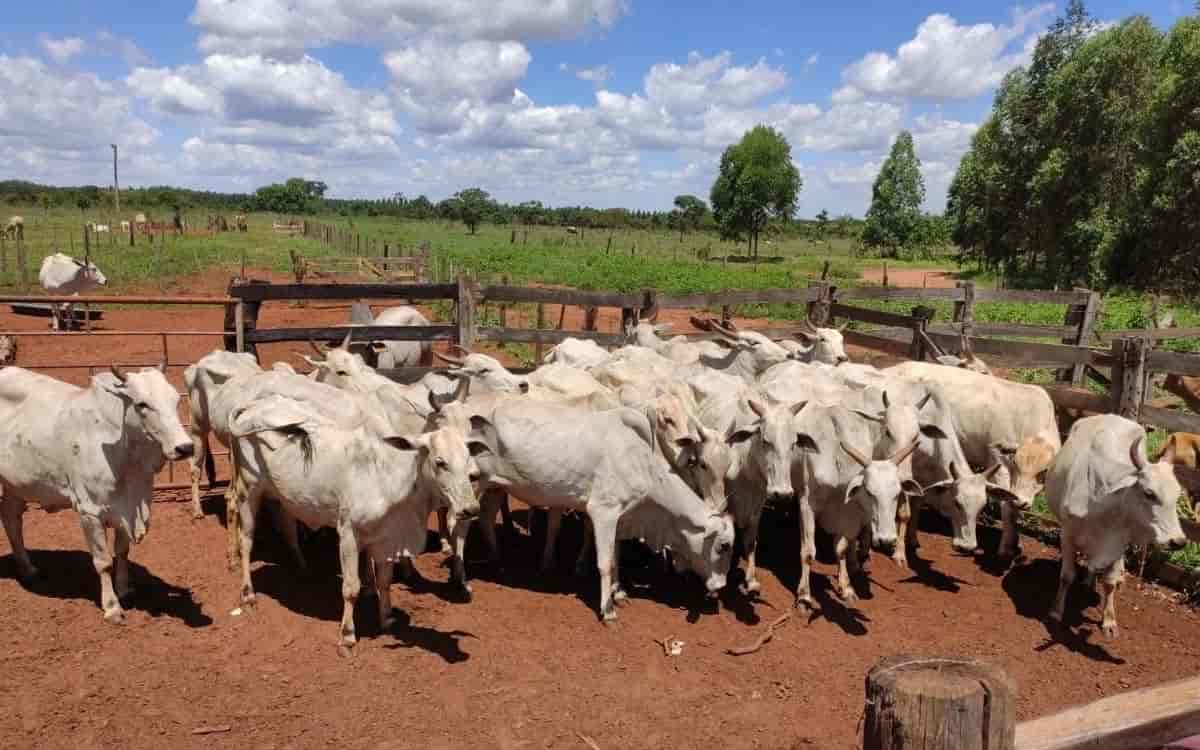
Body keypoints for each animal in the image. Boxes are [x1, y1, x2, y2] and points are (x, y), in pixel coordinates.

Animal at [0, 367, 192, 619]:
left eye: (176, 399)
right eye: (142, 404)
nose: (185, 447)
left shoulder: (125, 510)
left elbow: (122, 552)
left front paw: (124, 590)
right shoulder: (90, 512)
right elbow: (103, 561)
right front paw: (112, 607)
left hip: (13, 485)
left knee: (11, 520)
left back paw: (28, 569)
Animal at [229, 396, 482, 652]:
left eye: (467, 460)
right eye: (440, 462)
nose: (471, 508)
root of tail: (253, 405)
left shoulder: (385, 540)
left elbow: (384, 582)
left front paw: (386, 619)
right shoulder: (348, 534)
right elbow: (351, 588)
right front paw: (347, 636)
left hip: (283, 496)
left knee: (288, 526)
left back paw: (301, 566)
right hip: (249, 489)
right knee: (246, 540)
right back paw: (248, 594)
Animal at [465, 400, 729, 624]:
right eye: (724, 546)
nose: (720, 586)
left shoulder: (621, 518)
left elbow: (616, 556)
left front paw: (618, 593)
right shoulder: (604, 512)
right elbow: (605, 562)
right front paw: (608, 609)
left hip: (496, 486)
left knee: (486, 518)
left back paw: (496, 558)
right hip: (474, 484)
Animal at [1046, 415, 1185, 638]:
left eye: (1178, 493)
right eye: (1149, 493)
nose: (1178, 541)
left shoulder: (1118, 543)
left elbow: (1109, 583)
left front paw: (1109, 621)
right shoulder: (1067, 535)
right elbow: (1067, 576)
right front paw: (1056, 612)